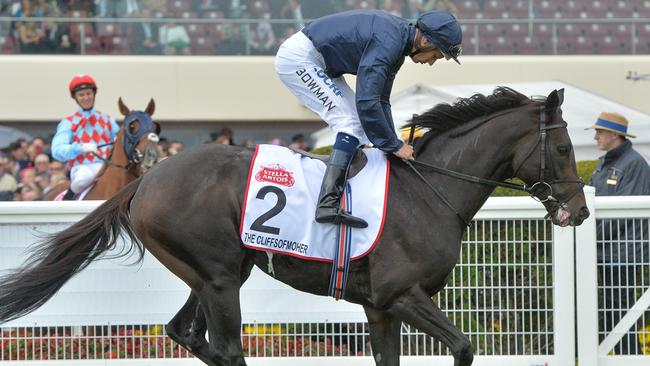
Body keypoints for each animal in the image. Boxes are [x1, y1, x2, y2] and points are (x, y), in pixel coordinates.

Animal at [0, 88, 588, 366]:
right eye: (563, 148)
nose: (578, 212)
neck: (429, 189)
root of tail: (147, 180)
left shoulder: (379, 307)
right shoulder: (403, 295)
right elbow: (464, 346)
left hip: (216, 273)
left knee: (184, 332)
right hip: (218, 276)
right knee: (226, 347)